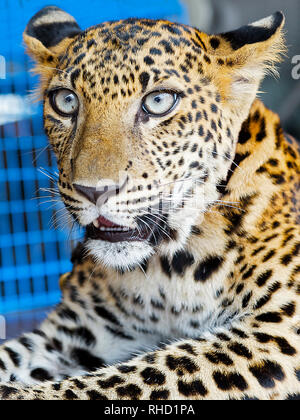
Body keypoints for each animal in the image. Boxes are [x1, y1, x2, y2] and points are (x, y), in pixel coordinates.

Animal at [0, 5, 300, 400]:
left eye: (158, 102)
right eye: (66, 101)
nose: (94, 191)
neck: (168, 271)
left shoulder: (277, 331)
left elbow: (134, 377)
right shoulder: (77, 330)